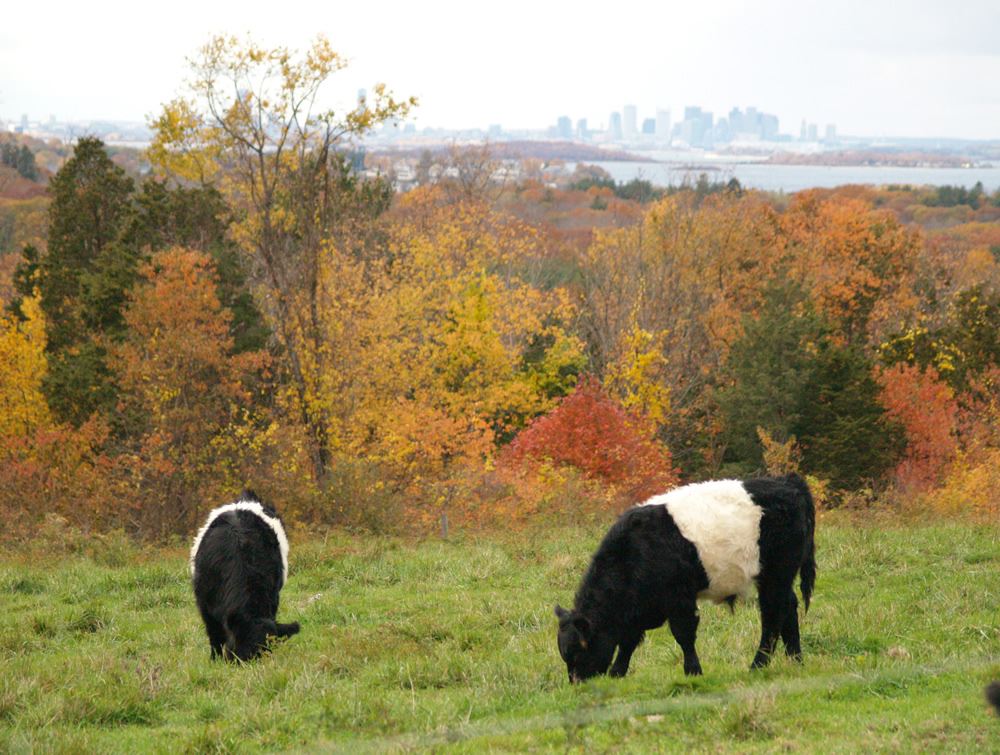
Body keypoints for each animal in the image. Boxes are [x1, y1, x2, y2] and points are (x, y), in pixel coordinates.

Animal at [190, 490, 300, 661]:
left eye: (268, 648)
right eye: (239, 643)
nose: (248, 663)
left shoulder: (273, 597)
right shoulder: (205, 606)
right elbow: (215, 637)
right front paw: (215, 660)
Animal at [555, 474, 816, 682]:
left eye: (579, 650)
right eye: (565, 654)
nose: (577, 683)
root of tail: (788, 483)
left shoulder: (679, 599)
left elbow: (684, 636)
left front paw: (693, 671)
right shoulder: (639, 610)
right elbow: (628, 641)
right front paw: (617, 673)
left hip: (777, 573)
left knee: (773, 615)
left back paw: (758, 665)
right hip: (778, 577)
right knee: (789, 607)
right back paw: (795, 660)